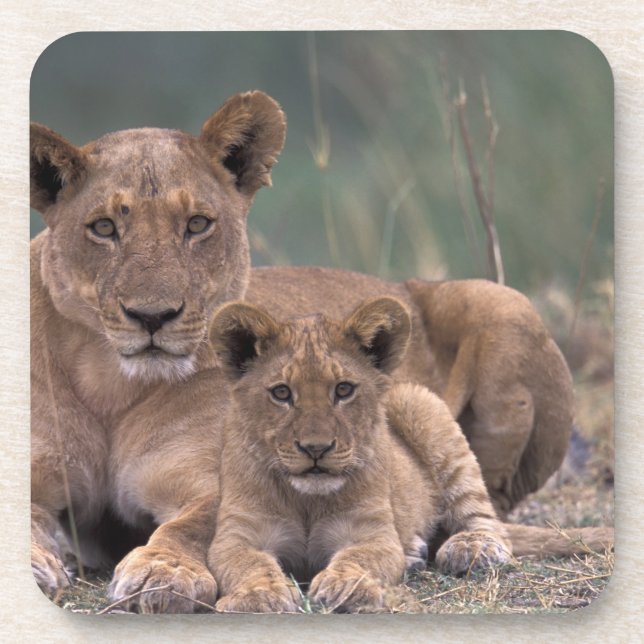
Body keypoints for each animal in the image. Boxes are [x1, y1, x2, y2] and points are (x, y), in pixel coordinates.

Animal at [31, 90, 577, 611]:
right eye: (104, 227)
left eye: (197, 225)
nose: (152, 316)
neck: (110, 386)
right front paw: (41, 565)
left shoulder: (219, 485)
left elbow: (191, 526)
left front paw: (162, 571)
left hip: (503, 304)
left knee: (486, 504)